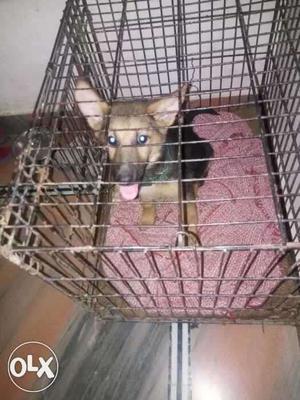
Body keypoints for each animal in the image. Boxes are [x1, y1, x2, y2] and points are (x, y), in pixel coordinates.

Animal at [76, 78, 214, 241]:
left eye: (142, 139)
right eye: (111, 140)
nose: (123, 180)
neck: (154, 176)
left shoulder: (185, 195)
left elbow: (191, 216)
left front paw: (192, 238)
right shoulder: (144, 192)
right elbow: (147, 204)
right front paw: (147, 219)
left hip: (206, 152)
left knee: (199, 179)